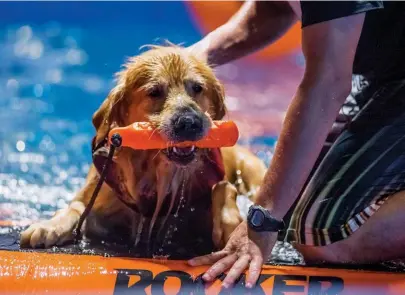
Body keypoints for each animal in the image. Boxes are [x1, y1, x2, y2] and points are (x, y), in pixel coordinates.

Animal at [19, 44, 266, 260]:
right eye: (154, 92)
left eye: (197, 88)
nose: (189, 122)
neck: (156, 174)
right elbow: (74, 208)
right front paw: (48, 226)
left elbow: (223, 189)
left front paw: (232, 226)